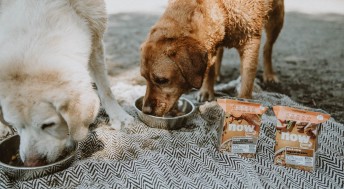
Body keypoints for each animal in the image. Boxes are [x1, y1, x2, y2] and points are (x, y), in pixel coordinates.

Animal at [0, 0, 132, 166]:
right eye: (17, 126)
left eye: (49, 125)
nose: (31, 163)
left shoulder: (95, 34)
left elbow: (105, 88)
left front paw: (118, 116)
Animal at [140, 0, 284, 116]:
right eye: (144, 78)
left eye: (161, 80)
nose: (145, 111)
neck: (222, 8)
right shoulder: (211, 44)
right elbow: (209, 68)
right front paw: (207, 91)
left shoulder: (251, 40)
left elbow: (248, 77)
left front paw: (244, 101)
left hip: (277, 18)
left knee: (267, 47)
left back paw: (269, 75)